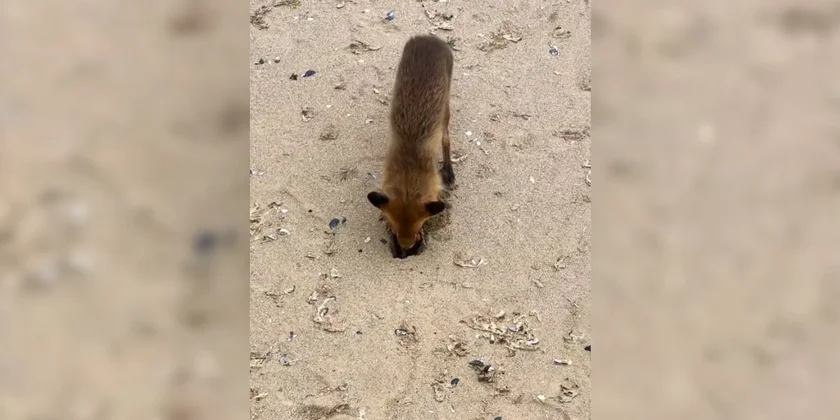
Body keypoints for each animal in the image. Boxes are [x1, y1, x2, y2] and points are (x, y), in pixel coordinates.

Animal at [367, 35, 455, 259]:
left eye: (418, 228)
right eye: (395, 229)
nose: (406, 248)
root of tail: (430, 38)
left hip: (445, 108)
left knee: (446, 139)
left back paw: (449, 170)